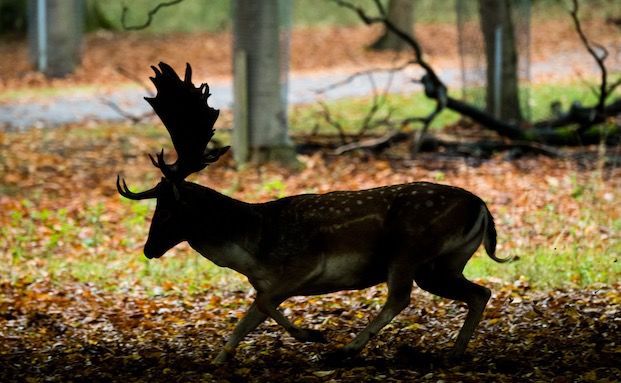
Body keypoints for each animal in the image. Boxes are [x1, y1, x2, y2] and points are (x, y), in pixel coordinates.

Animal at [117, 62, 508, 364]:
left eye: (167, 208)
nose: (148, 249)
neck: (251, 248)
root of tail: (482, 207)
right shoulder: (268, 281)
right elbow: (249, 316)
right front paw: (219, 358)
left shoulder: (301, 265)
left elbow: (263, 304)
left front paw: (314, 336)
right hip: (442, 264)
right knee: (479, 292)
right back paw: (454, 352)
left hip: (409, 249)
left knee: (401, 297)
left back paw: (346, 349)